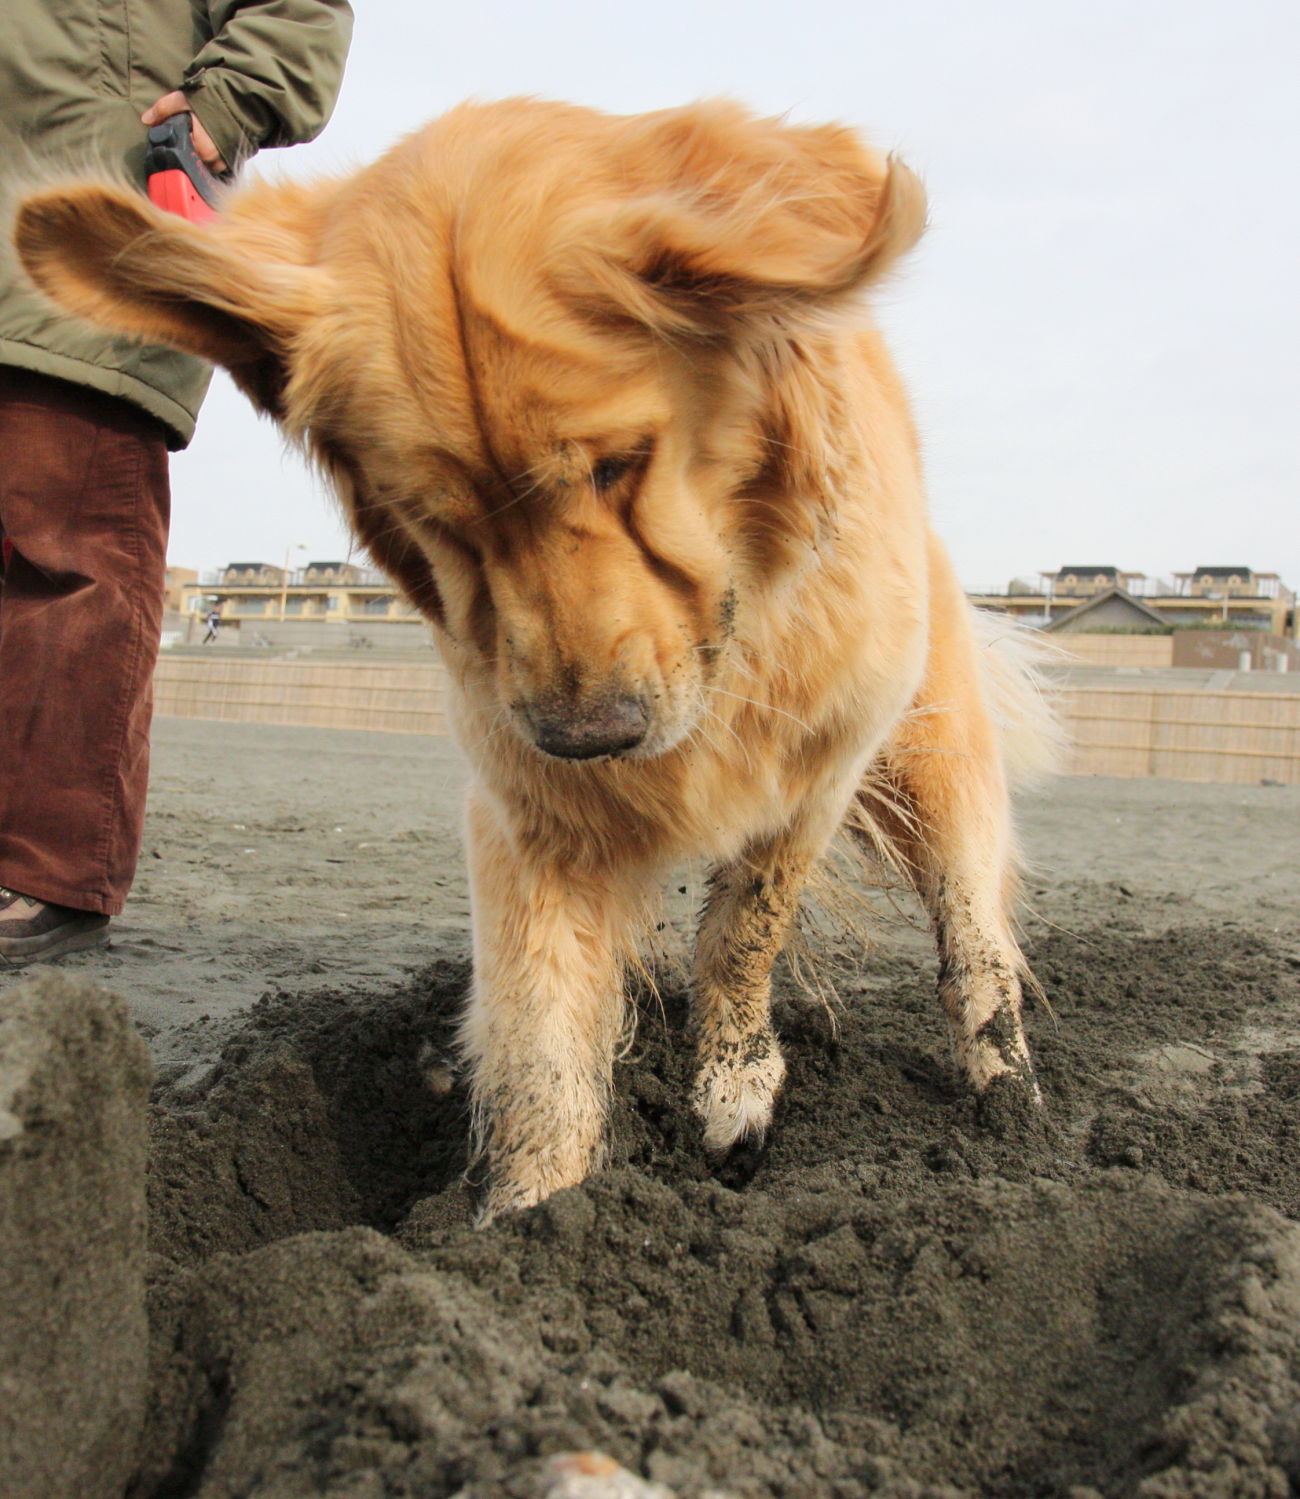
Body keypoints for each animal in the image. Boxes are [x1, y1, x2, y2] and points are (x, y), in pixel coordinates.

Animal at [15, 99, 1055, 1217]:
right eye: (434, 516)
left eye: (619, 465)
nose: (591, 737)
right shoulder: (528, 808)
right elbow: (540, 1035)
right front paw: (535, 1222)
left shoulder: (822, 759)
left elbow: (748, 919)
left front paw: (733, 1087)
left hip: (934, 754)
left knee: (973, 927)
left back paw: (1008, 1099)